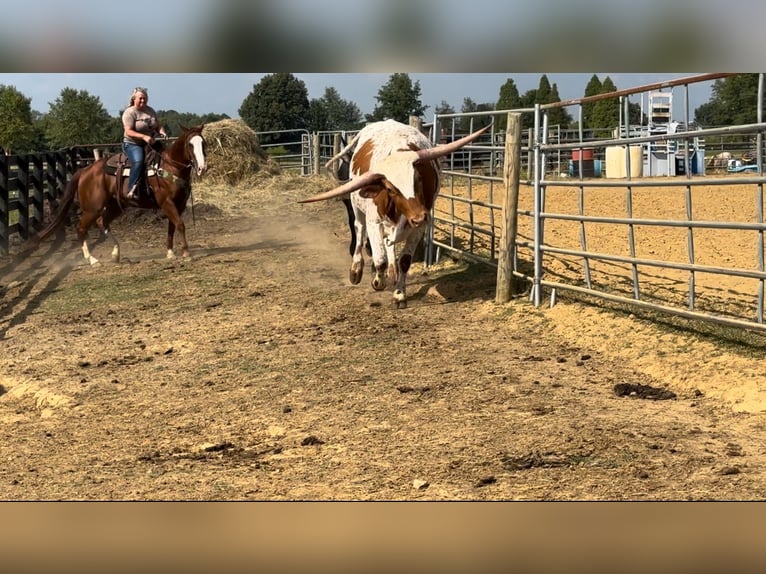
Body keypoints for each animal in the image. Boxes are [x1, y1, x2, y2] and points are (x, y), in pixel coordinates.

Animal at [31, 125, 208, 264]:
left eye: (203, 143)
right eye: (190, 145)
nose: (202, 168)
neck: (169, 166)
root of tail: (85, 171)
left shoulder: (179, 204)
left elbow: (172, 226)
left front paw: (171, 253)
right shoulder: (166, 202)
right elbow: (180, 225)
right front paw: (186, 253)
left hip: (114, 206)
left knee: (102, 222)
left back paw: (116, 253)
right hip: (92, 209)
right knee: (81, 228)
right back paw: (92, 259)